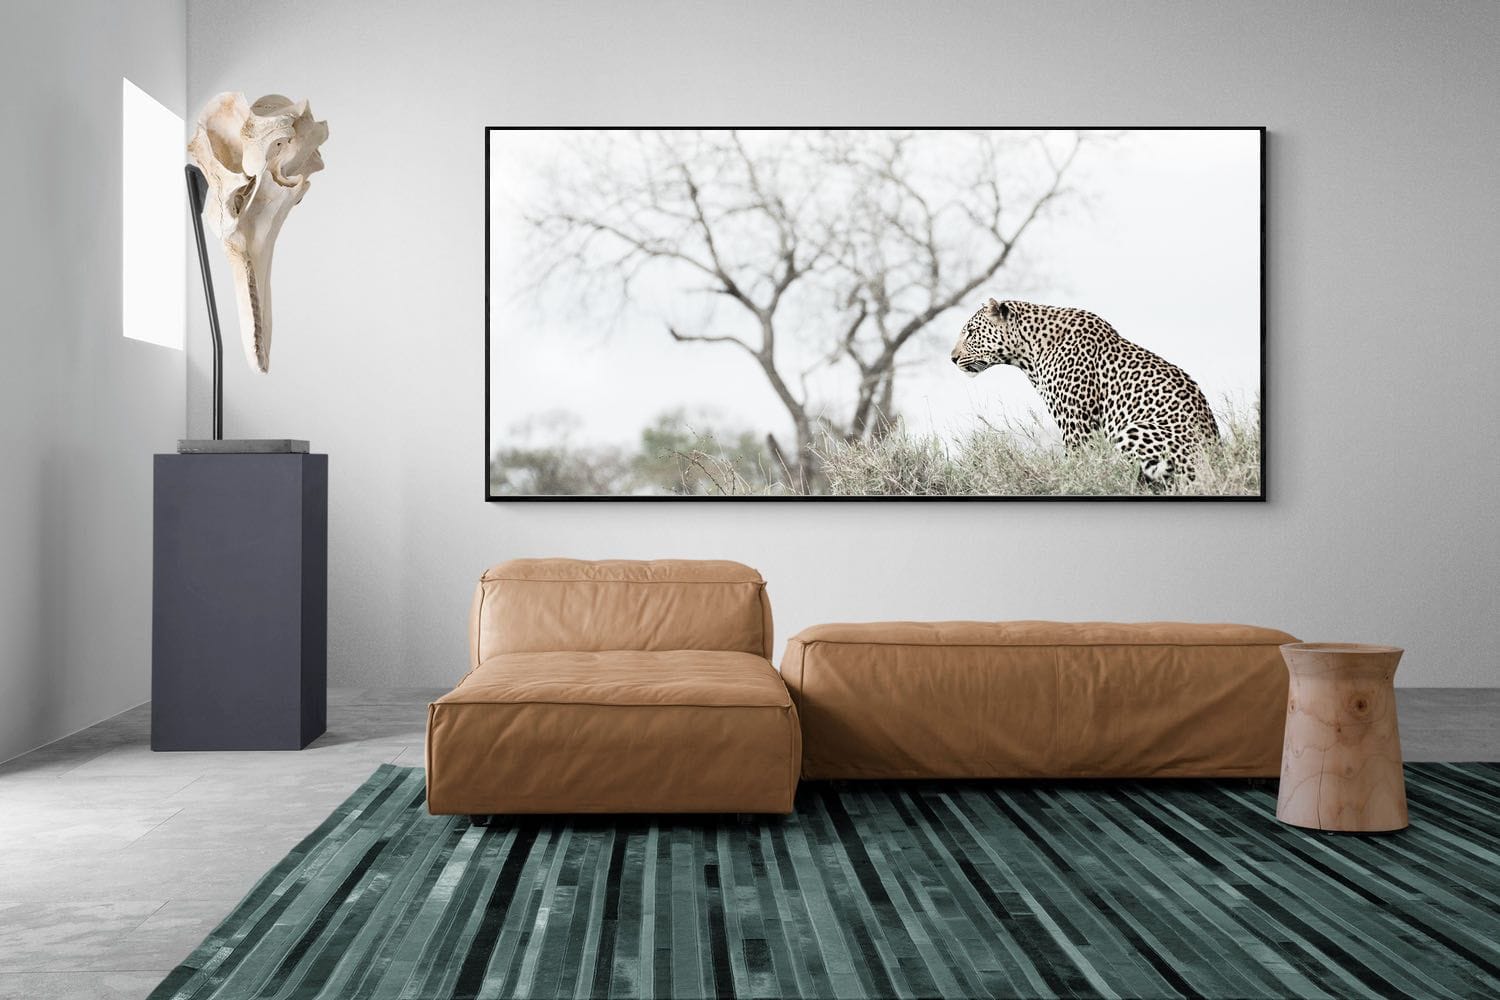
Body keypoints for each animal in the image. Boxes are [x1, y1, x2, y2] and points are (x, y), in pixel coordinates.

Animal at [950, 298, 1219, 483]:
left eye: (971, 332)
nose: (952, 358)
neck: (1028, 351)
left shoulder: (1076, 424)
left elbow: (1077, 463)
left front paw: (1070, 481)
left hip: (1135, 430)